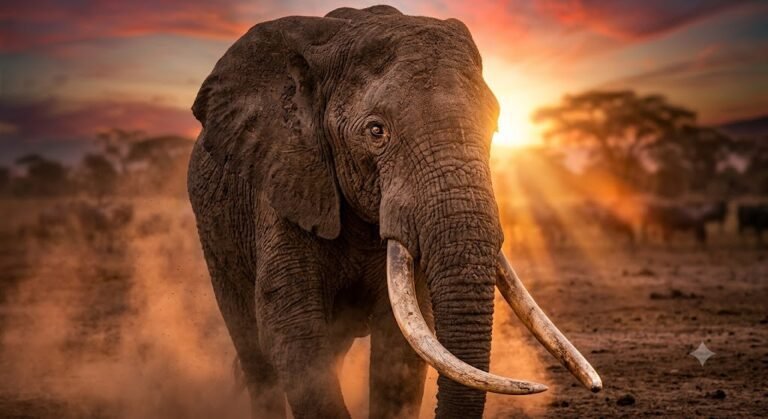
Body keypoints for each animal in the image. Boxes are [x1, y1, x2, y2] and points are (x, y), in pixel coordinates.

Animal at [187, 5, 601, 419]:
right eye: (376, 131)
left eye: (495, 127)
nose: (594, 386)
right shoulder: (287, 177)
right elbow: (293, 333)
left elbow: (402, 347)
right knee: (254, 351)